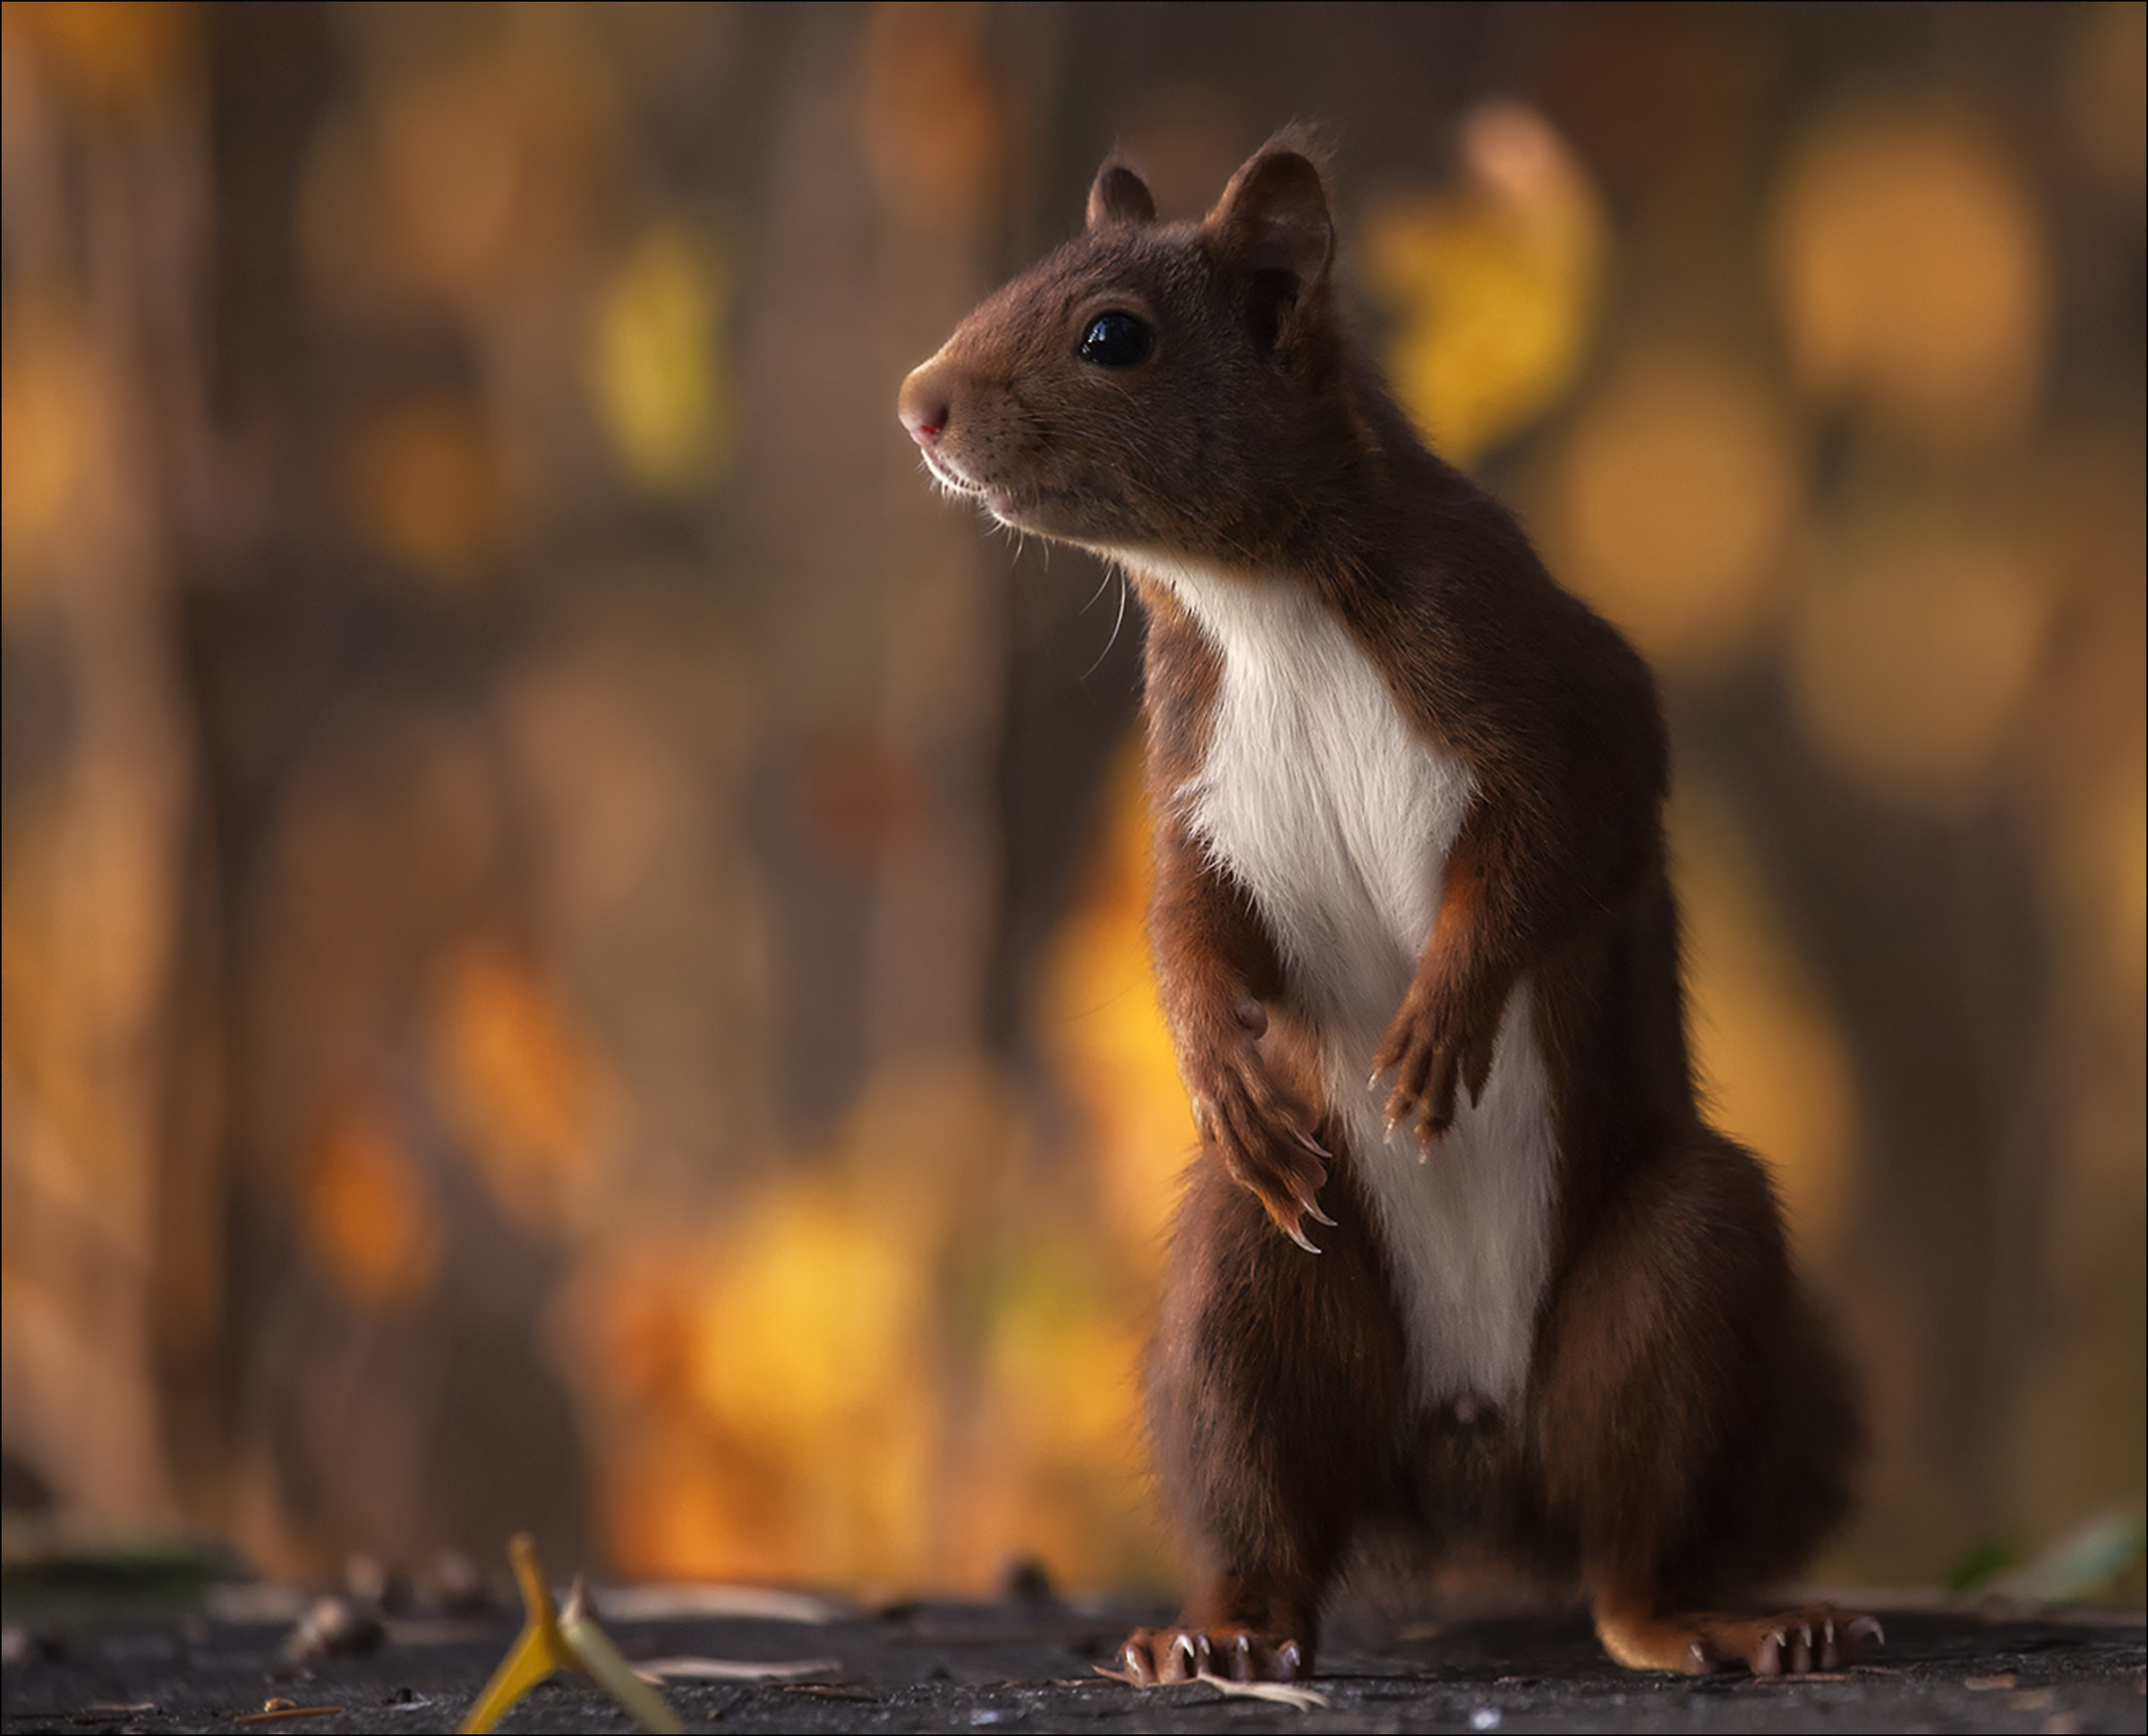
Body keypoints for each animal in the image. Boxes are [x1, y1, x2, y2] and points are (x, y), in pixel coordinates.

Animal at [898, 135, 1869, 1683]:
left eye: (1114, 336)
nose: (918, 405)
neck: (1259, 599)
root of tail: (1471, 1448)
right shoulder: (1193, 784)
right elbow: (1183, 924)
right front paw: (1216, 1061)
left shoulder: (1541, 684)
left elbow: (1554, 848)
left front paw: (1442, 1019)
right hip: (1254, 1281)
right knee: (1271, 1508)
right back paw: (1221, 1632)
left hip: (1679, 1272)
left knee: (1635, 1534)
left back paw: (1710, 1619)